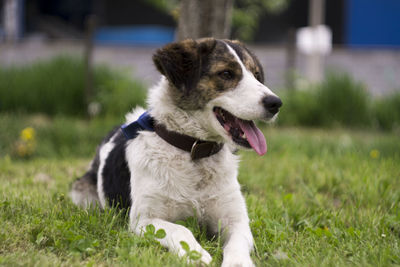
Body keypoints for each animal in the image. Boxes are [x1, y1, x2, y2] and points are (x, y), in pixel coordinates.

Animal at [70, 38, 282, 267]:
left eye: (256, 75)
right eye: (226, 74)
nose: (275, 103)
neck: (194, 150)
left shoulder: (236, 220)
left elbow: (237, 244)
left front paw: (237, 263)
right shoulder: (144, 219)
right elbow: (180, 229)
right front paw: (195, 254)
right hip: (82, 194)